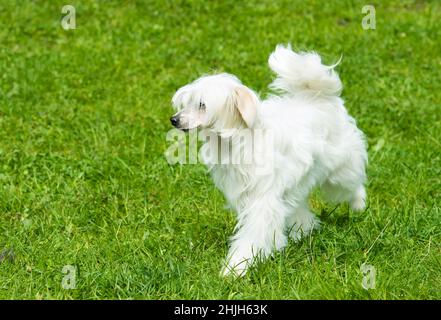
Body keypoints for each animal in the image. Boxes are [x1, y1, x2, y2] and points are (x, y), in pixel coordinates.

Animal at [170, 43, 366, 276]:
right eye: (186, 103)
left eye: (202, 105)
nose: (174, 120)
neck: (236, 142)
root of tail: (318, 97)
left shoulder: (262, 200)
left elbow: (254, 234)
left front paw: (236, 267)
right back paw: (303, 230)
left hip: (340, 172)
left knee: (352, 183)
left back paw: (359, 205)